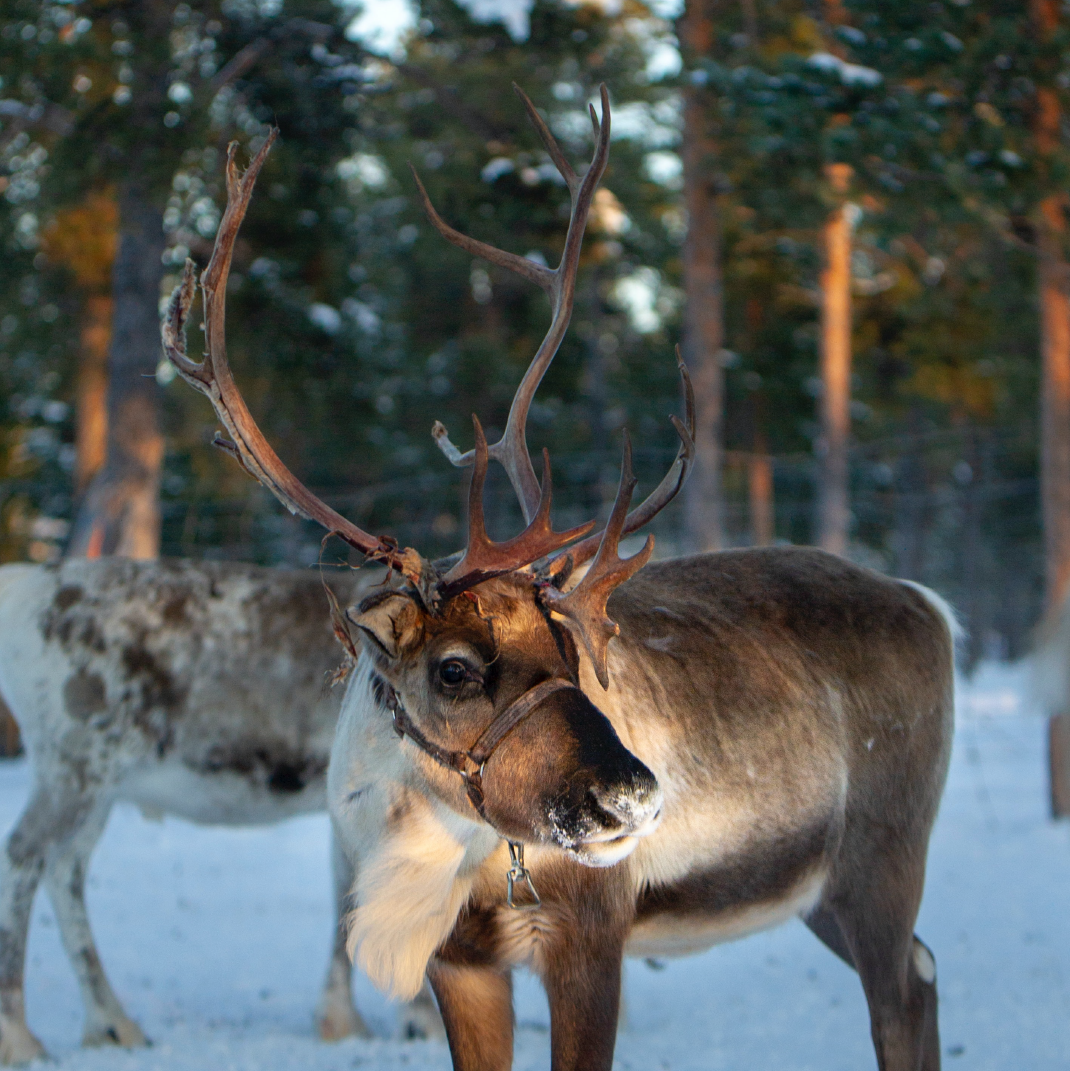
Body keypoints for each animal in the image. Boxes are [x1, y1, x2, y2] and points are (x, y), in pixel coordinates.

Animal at [0, 557, 443, 1064]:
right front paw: (414, 1021)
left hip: (93, 784)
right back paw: (19, 1036)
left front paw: (343, 1021)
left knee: (64, 869)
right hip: (74, 764)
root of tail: (24, 583)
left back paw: (112, 1024)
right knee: (22, 853)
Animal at [163, 85, 957, 1071]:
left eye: (571, 651)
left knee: (904, 989)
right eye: (453, 668)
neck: (433, 840)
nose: (633, 794)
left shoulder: (589, 933)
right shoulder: (459, 960)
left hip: (883, 855)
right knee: (924, 970)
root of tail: (932, 605)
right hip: (820, 891)